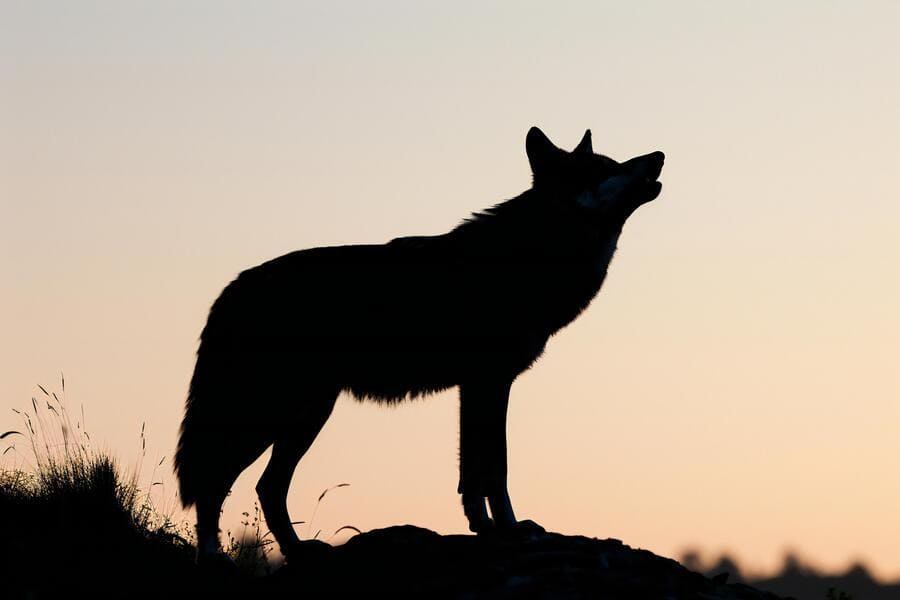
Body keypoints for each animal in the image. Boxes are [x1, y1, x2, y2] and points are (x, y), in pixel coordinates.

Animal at [174, 127, 664, 561]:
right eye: (607, 168)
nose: (659, 155)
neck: (529, 257)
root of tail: (232, 289)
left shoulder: (477, 387)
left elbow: (472, 472)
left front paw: (483, 528)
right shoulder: (490, 382)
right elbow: (497, 467)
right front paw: (511, 530)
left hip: (304, 415)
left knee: (265, 486)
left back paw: (298, 552)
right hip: (275, 415)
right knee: (216, 480)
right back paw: (214, 560)